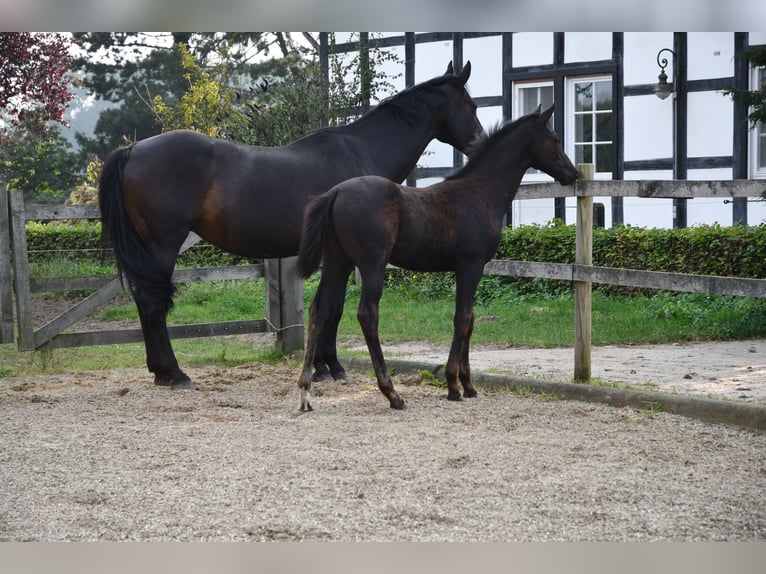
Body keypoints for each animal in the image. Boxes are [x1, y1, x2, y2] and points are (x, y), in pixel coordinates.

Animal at [99, 62, 484, 392]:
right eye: (472, 105)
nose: (480, 142)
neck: (361, 153)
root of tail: (132, 150)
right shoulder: (346, 256)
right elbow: (332, 306)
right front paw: (330, 367)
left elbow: (330, 305)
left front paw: (324, 366)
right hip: (163, 244)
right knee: (152, 303)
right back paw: (176, 374)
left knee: (143, 299)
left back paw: (160, 372)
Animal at [296, 106, 580, 412]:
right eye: (555, 139)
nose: (572, 172)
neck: (479, 192)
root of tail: (335, 192)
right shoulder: (470, 265)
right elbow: (463, 318)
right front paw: (454, 385)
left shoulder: (469, 269)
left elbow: (470, 319)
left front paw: (468, 385)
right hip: (372, 266)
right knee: (367, 315)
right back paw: (392, 394)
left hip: (338, 263)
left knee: (319, 310)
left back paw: (305, 392)